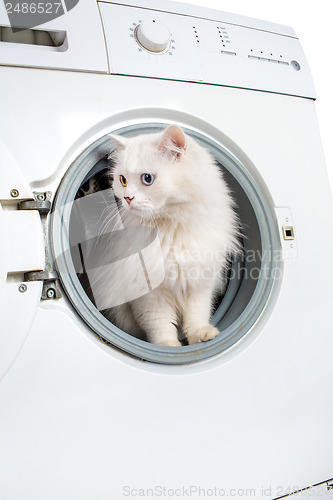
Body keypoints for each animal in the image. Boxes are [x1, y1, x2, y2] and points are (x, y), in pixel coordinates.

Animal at [88, 124, 239, 348]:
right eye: (122, 180)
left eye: (147, 179)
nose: (127, 198)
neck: (169, 228)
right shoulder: (149, 294)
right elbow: (159, 325)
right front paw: (168, 346)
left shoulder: (200, 281)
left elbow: (196, 315)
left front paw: (201, 335)